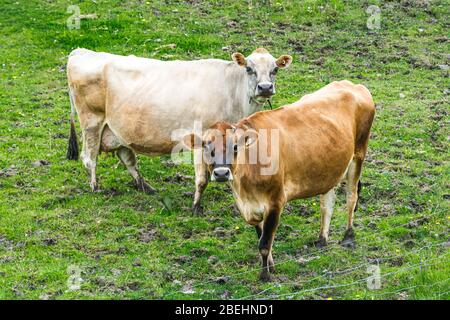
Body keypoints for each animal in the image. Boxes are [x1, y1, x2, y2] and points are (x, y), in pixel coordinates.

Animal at [185, 80, 374, 280]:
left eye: (235, 147)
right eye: (207, 147)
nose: (221, 173)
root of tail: (352, 85)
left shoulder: (275, 202)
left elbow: (264, 244)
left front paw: (265, 276)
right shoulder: (252, 207)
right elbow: (262, 238)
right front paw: (271, 266)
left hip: (359, 154)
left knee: (351, 197)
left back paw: (348, 237)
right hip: (330, 167)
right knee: (327, 204)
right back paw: (322, 239)